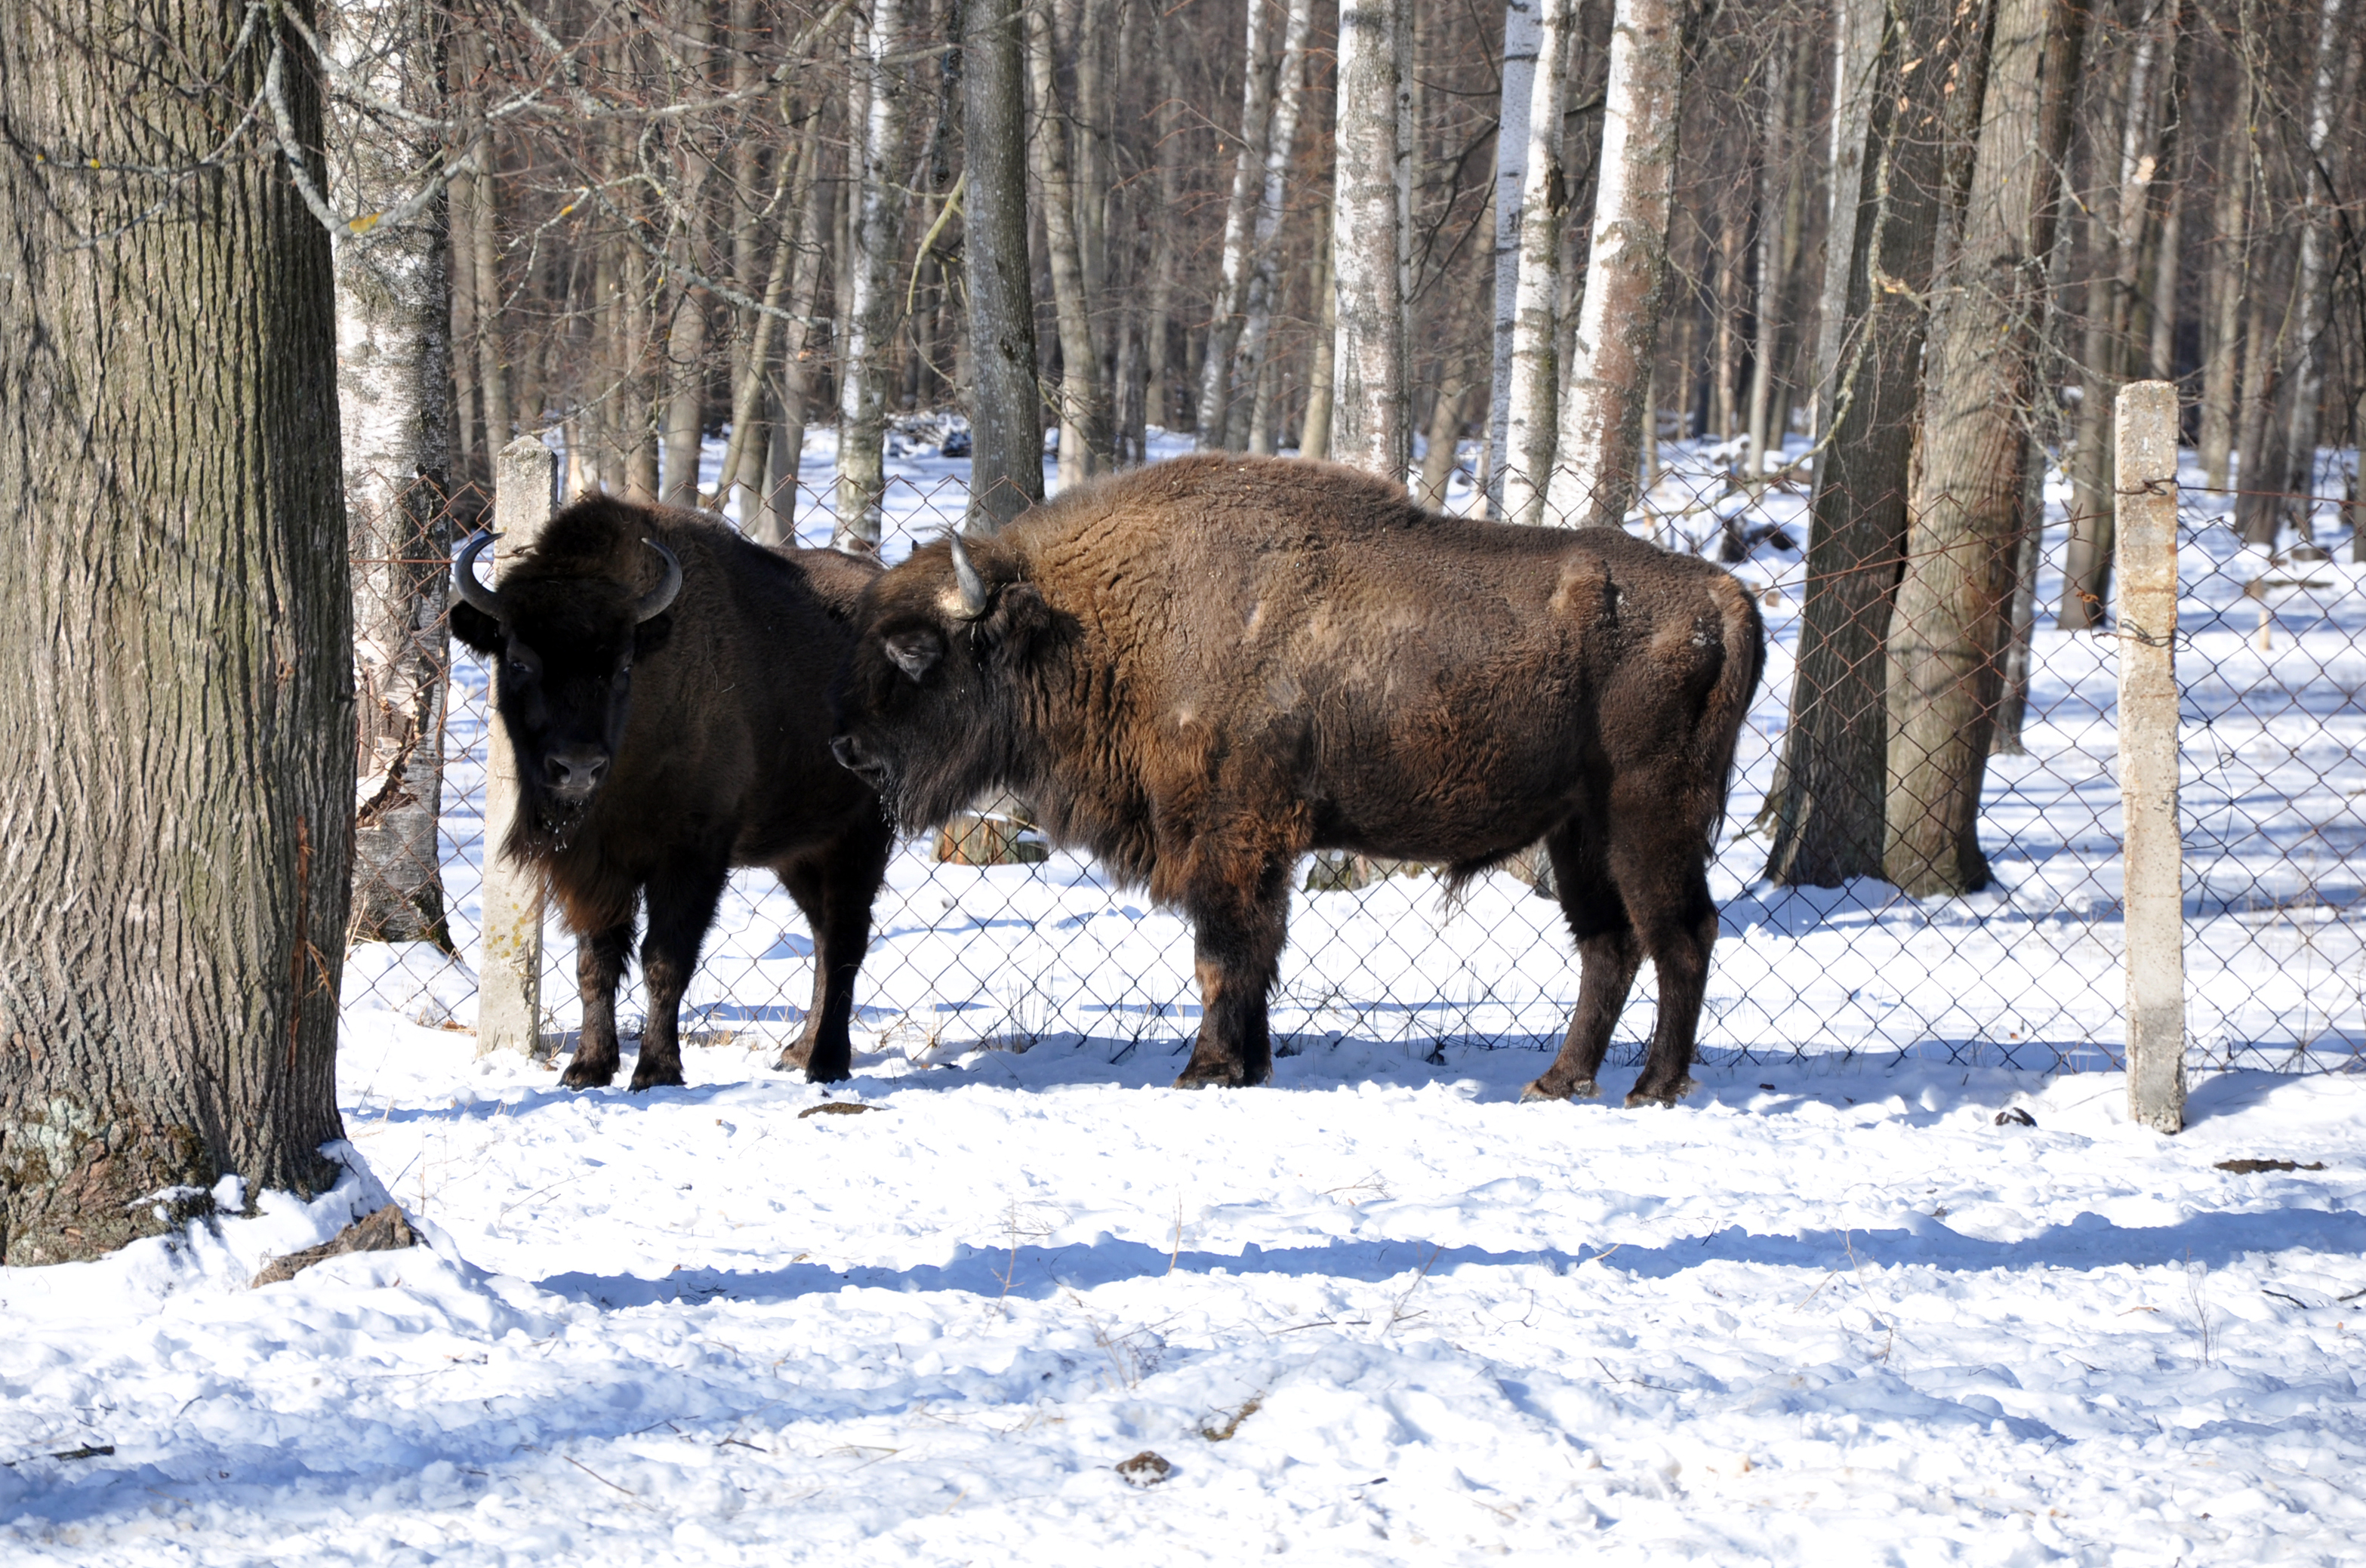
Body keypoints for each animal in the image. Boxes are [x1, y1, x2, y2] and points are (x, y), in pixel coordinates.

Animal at [447, 499, 889, 1092]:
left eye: (622, 665)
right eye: (518, 660)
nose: (578, 767)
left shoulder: (692, 858)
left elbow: (664, 960)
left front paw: (656, 1070)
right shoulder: (596, 868)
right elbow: (596, 964)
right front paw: (586, 1067)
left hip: (861, 835)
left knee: (845, 937)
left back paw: (828, 1062)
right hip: (799, 853)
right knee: (822, 934)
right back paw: (797, 1052)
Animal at [833, 454, 1760, 1101]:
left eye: (917, 653)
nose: (847, 749)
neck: (1094, 620)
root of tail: (1725, 599)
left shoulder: (1232, 834)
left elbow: (1223, 954)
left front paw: (1205, 1069)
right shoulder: (1257, 849)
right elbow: (1255, 954)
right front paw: (1250, 1064)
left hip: (1648, 816)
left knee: (1681, 935)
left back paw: (1652, 1089)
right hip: (1578, 831)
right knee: (1609, 944)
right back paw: (1558, 1082)